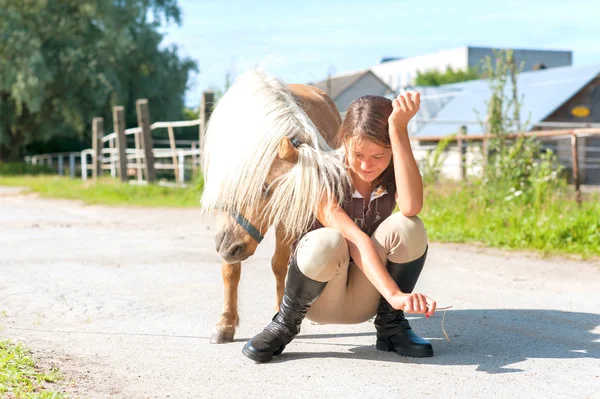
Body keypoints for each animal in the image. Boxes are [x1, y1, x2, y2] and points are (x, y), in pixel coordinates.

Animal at [203, 71, 346, 344]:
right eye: (262, 186)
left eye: (270, 190)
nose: (232, 248)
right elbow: (230, 269)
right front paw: (225, 323)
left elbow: (279, 265)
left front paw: (279, 313)